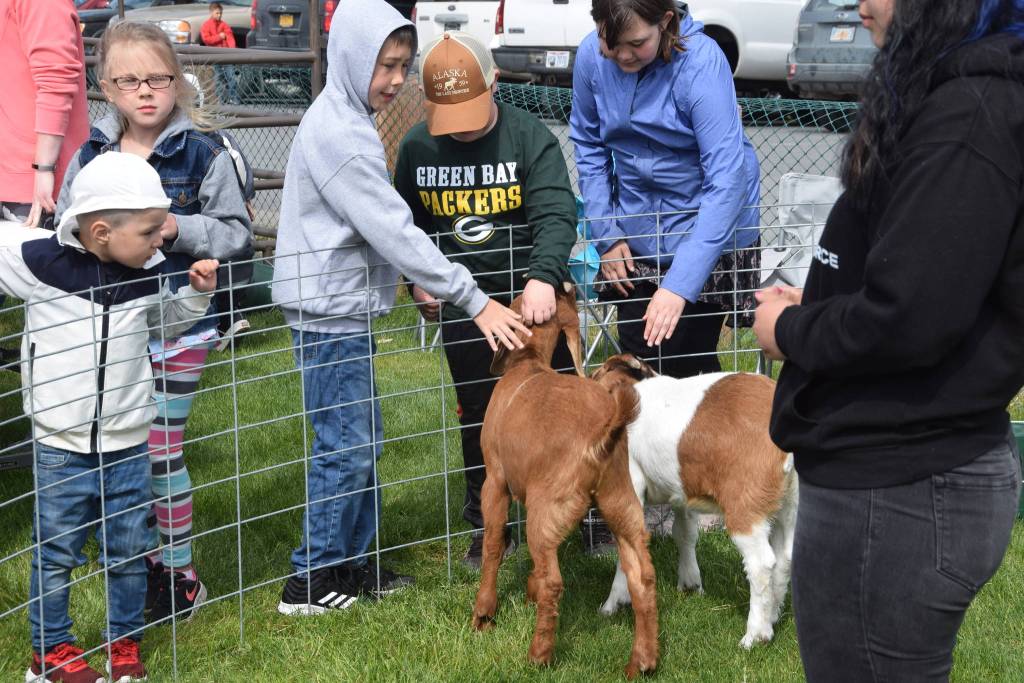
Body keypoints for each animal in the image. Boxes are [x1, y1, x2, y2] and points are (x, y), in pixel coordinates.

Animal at [471, 284, 658, 678]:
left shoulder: (495, 481)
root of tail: (603, 434)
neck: (528, 362)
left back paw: (539, 654)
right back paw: (642, 661)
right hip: (621, 505)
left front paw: (484, 613)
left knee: (555, 582)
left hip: (547, 508)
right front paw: (527, 590)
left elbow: (493, 545)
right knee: (642, 578)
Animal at [592, 354, 798, 649]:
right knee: (785, 557)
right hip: (789, 502)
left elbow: (628, 549)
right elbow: (685, 534)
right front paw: (691, 585)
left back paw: (755, 636)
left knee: (761, 564)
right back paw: (772, 618)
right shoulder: (683, 495)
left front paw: (611, 605)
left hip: (746, 507)